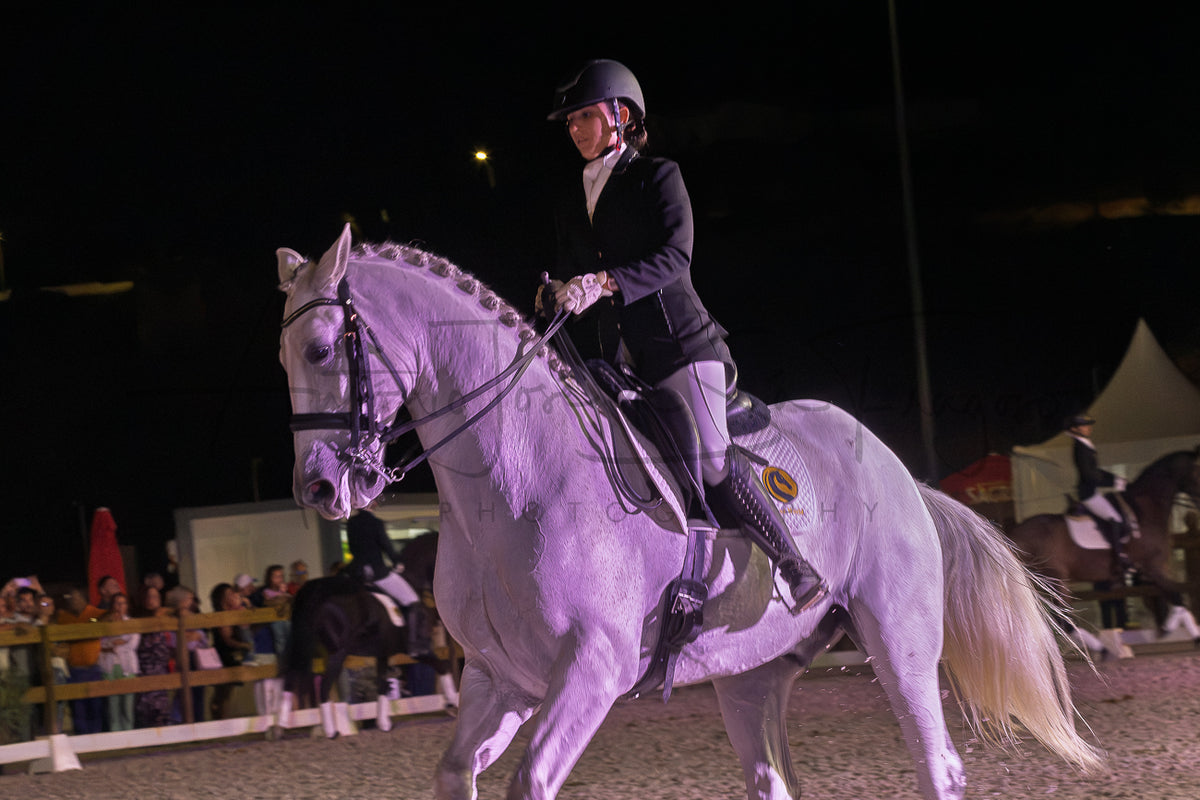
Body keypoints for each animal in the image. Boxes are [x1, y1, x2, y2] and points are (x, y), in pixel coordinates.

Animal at [277, 538, 457, 739]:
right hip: (337, 653)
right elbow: (443, 666)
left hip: (305, 645)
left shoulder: (383, 654)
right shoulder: (418, 651)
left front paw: (383, 723)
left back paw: (281, 726)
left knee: (291, 677)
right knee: (323, 686)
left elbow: (382, 685)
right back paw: (331, 731)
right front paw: (453, 703)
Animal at [1007, 448, 1200, 651]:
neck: (1144, 510)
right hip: (1055, 579)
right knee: (1064, 622)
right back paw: (1102, 649)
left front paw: (1172, 628)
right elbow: (1178, 598)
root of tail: (1014, 532)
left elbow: (1175, 600)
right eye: (1197, 472)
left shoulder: (1155, 571)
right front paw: (1187, 634)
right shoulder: (1154, 567)